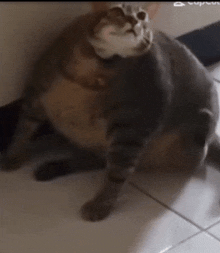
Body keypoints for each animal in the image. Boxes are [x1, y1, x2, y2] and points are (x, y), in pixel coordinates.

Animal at [1, 3, 220, 221]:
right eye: (117, 11)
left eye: (142, 15)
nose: (134, 21)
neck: (95, 67)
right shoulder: (36, 93)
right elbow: (23, 129)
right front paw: (12, 156)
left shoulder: (133, 127)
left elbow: (117, 173)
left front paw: (101, 204)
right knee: (96, 156)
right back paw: (52, 165)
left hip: (192, 137)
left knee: (106, 161)